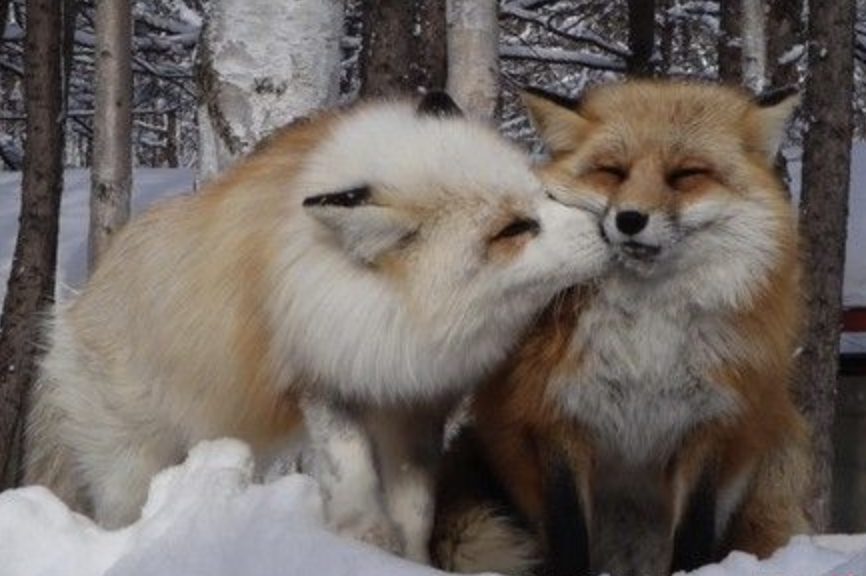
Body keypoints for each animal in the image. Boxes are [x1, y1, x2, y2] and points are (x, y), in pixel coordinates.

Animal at [22, 92, 612, 563]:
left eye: (544, 197)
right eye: (512, 229)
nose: (612, 227)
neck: (390, 311)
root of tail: (75, 305)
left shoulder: (417, 400)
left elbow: (417, 509)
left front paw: (412, 561)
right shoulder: (317, 374)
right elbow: (353, 467)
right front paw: (364, 539)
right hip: (130, 466)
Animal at [431, 80, 811, 576]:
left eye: (686, 174)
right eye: (612, 172)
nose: (630, 219)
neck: (644, 334)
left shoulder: (709, 423)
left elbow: (694, 532)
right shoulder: (555, 417)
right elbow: (569, 533)